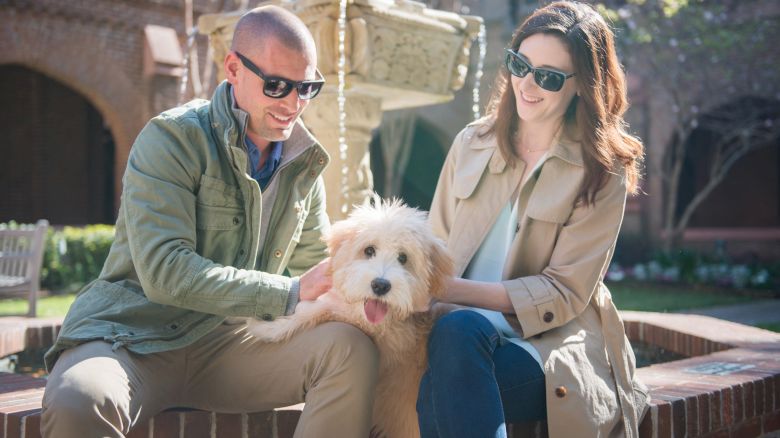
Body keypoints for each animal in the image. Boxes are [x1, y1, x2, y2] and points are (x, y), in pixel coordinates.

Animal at [244, 199, 450, 438]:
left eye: (403, 258)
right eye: (369, 250)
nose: (380, 285)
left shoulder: (388, 335)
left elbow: (323, 308)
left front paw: (266, 327)